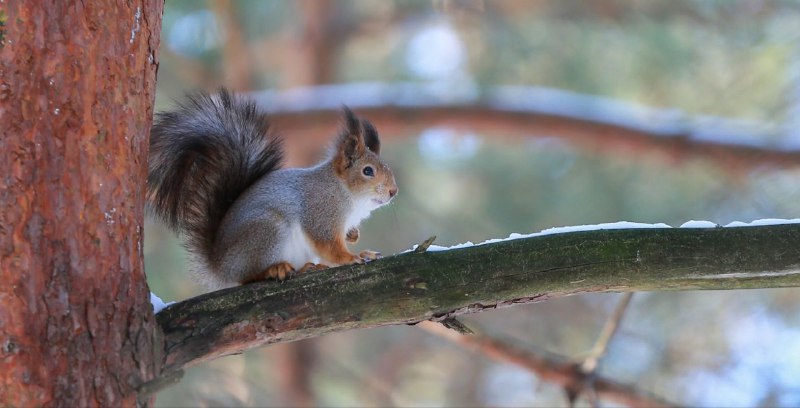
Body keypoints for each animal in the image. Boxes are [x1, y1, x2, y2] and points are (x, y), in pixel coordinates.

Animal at [146, 89, 396, 288]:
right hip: (267, 230)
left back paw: (307, 268)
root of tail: (220, 266)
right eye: (368, 171)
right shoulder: (320, 212)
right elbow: (329, 247)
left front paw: (354, 237)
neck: (345, 192)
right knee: (247, 277)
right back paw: (275, 269)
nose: (394, 191)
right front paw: (352, 257)